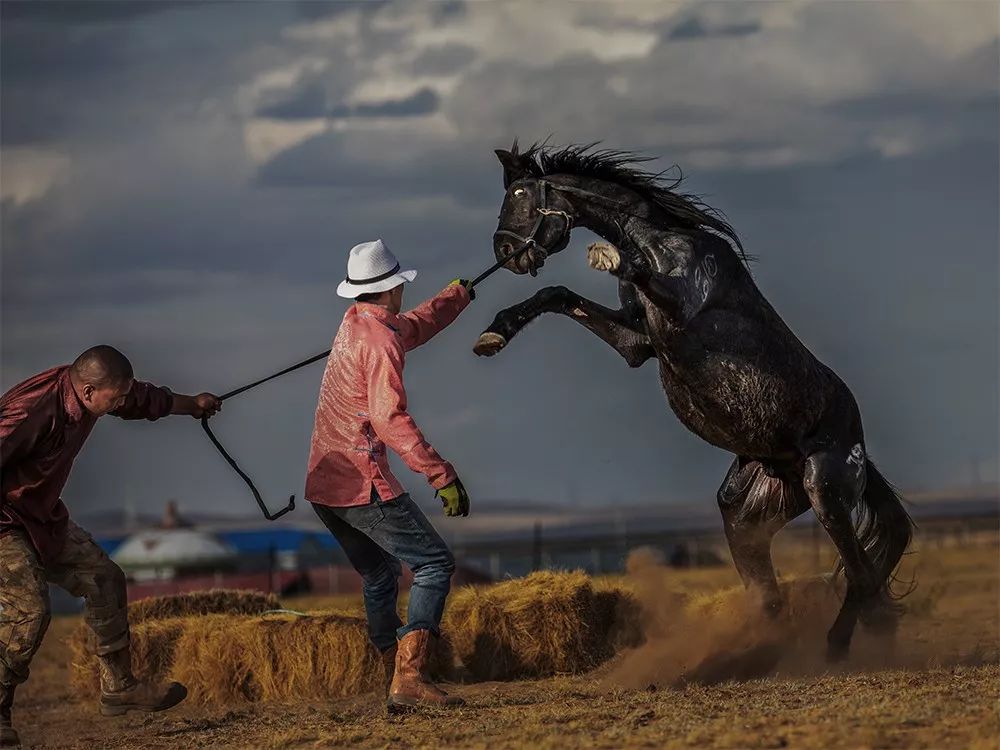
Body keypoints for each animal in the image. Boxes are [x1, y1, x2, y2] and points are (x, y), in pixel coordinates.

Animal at [476, 140, 916, 656]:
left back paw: (834, 651)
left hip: (825, 490)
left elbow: (631, 273)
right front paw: (494, 333)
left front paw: (607, 256)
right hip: (749, 512)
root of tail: (859, 452)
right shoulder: (637, 344)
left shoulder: (680, 310)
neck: (659, 241)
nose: (505, 252)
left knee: (862, 580)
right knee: (779, 593)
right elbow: (557, 294)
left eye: (521, 193)